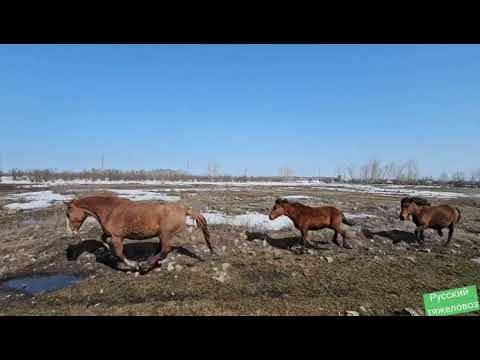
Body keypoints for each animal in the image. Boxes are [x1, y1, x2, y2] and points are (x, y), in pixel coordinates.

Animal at [64, 195, 215, 272]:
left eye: (68, 214)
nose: (71, 232)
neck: (110, 210)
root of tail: (184, 209)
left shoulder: (117, 237)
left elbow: (119, 253)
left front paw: (134, 265)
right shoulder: (110, 234)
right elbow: (103, 239)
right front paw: (105, 248)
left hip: (165, 234)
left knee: (165, 249)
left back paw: (146, 265)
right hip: (163, 235)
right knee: (162, 249)